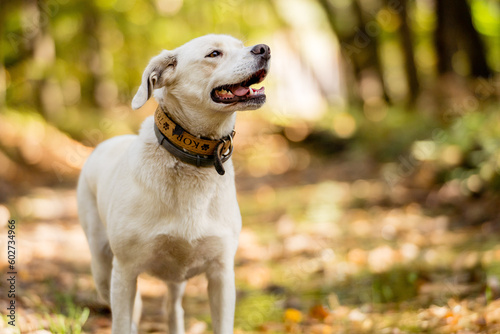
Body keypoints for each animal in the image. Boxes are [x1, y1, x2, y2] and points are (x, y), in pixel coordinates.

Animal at [78, 34, 272, 334]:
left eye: (241, 45)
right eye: (214, 54)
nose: (264, 49)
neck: (191, 158)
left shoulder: (221, 274)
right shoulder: (125, 271)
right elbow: (122, 322)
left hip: (176, 274)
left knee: (172, 308)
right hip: (102, 266)